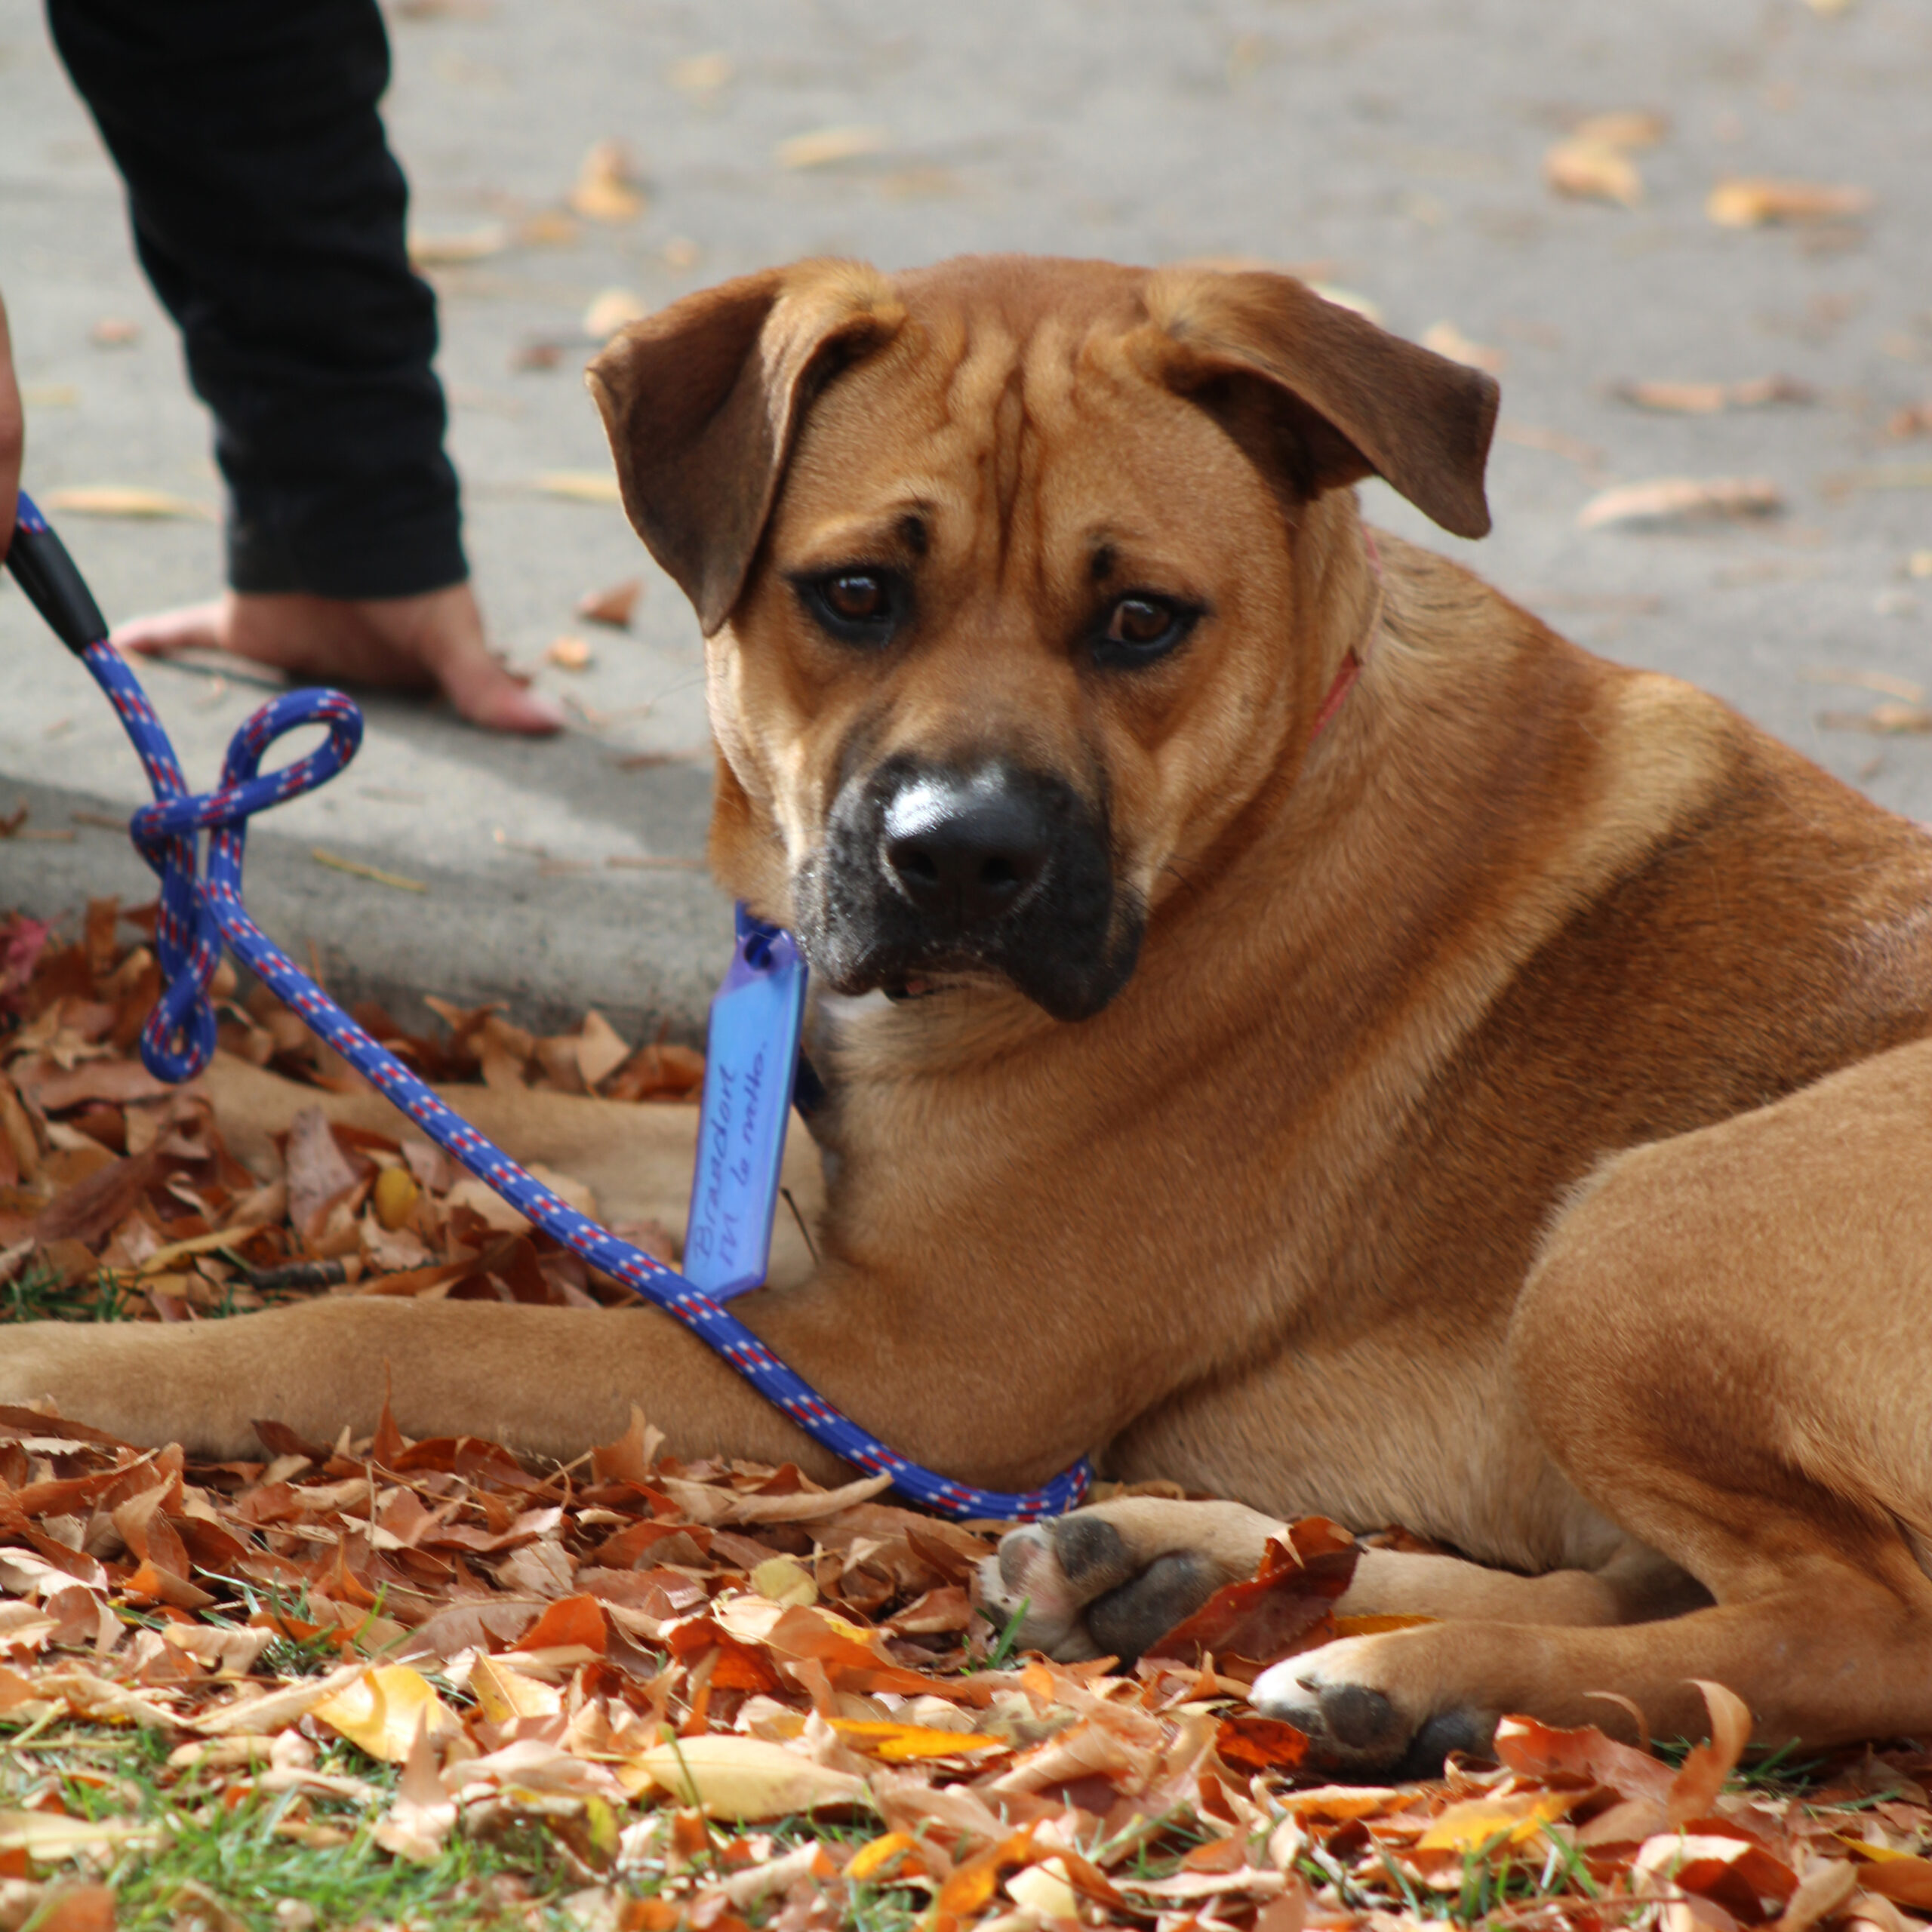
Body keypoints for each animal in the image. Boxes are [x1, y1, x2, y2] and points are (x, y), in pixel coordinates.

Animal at [4, 260, 1932, 1777]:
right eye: (853, 591)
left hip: (1633, 1227)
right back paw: (1192, 1573)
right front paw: (199, 1088)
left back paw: (1419, 1672)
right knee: (1668, 1580)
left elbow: (382, 1332)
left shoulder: (912, 1366)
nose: (960, 857)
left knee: (1850, 1624)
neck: (1257, 802)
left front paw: (66, 1365)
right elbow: (469, 1110)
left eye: (1143, 618)